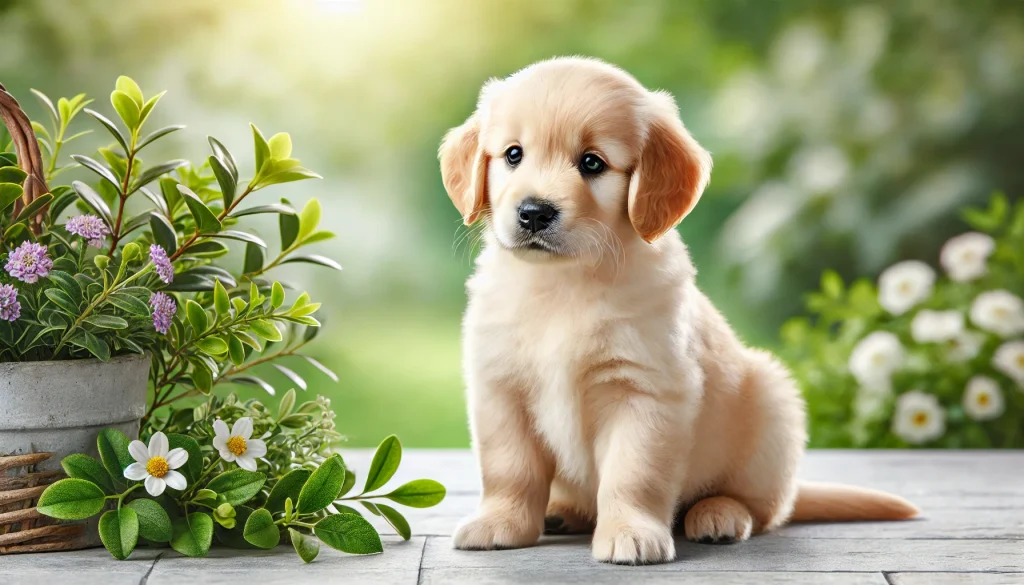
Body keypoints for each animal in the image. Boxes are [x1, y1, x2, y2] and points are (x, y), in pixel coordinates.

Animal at [436, 57, 917, 565]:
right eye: (513, 155)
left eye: (592, 162)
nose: (533, 212)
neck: (564, 282)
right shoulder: (500, 388)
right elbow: (509, 469)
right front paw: (499, 523)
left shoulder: (647, 390)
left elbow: (633, 473)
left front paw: (631, 532)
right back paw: (564, 511)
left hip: (772, 406)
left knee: (764, 507)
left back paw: (719, 515)